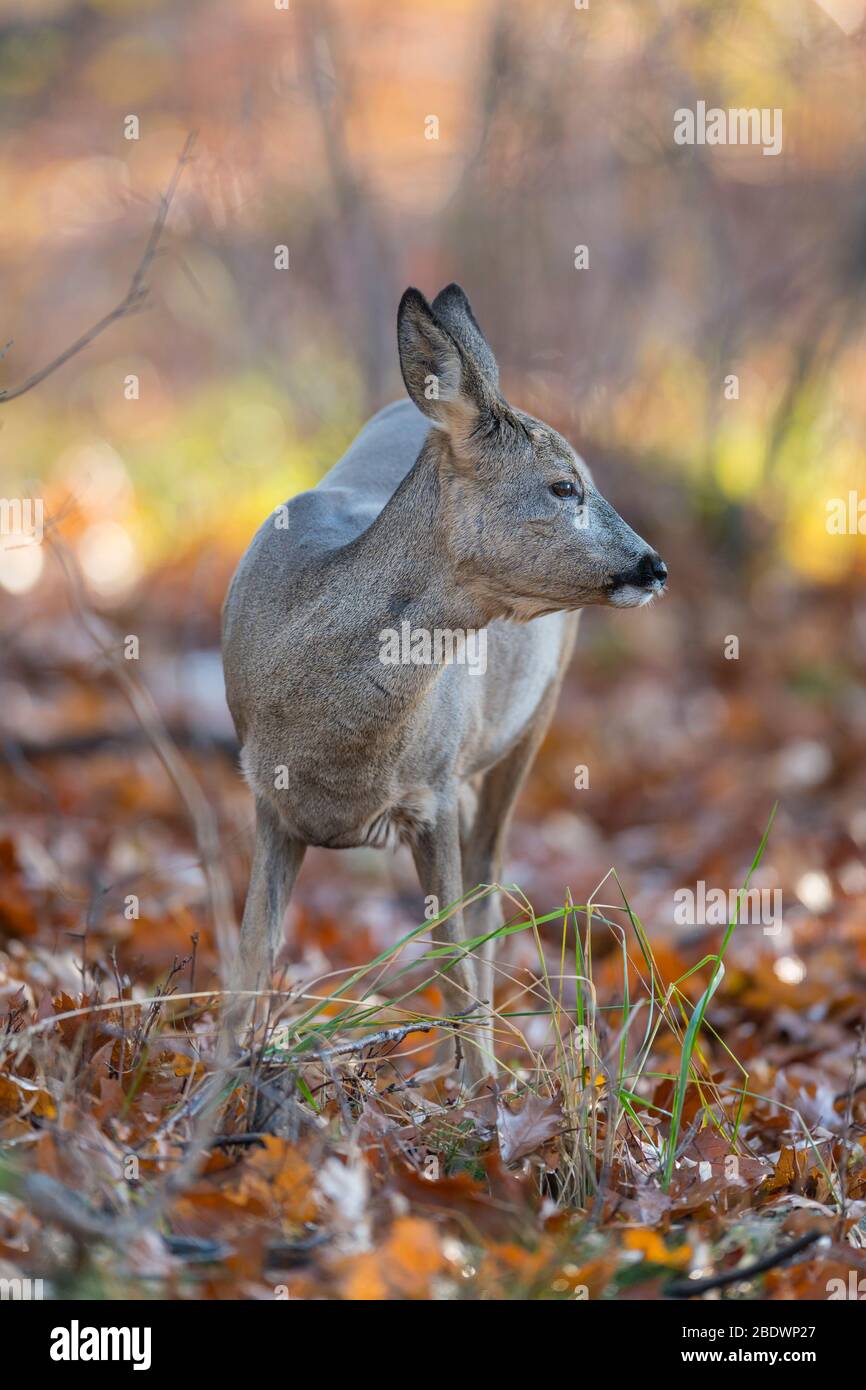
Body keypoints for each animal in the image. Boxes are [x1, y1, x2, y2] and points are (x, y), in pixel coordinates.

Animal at [221, 284, 667, 1090]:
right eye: (564, 487)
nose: (654, 565)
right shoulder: (268, 798)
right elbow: (249, 963)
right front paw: (214, 1085)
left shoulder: (429, 789)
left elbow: (452, 956)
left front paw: (478, 1090)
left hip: (531, 716)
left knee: (490, 882)